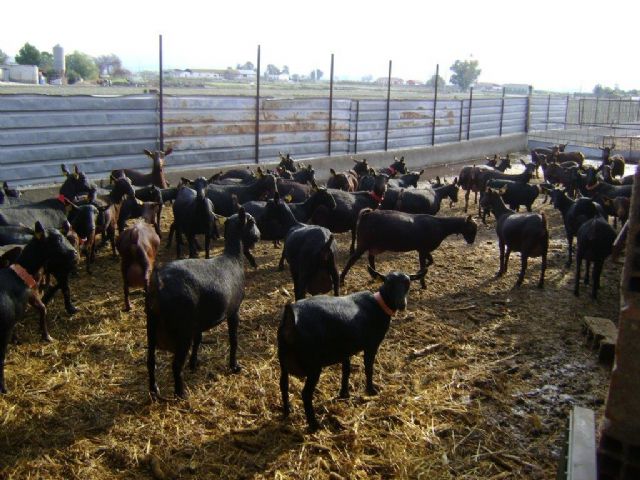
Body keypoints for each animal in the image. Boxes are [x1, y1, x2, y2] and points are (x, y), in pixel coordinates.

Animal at [278, 266, 424, 432]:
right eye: (388, 283)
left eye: (408, 283)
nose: (401, 304)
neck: (378, 305)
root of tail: (291, 320)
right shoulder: (371, 345)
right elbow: (368, 368)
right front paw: (371, 390)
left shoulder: (345, 349)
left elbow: (346, 370)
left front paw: (344, 394)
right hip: (313, 365)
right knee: (306, 394)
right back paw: (314, 425)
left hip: (283, 361)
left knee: (283, 385)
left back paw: (287, 411)